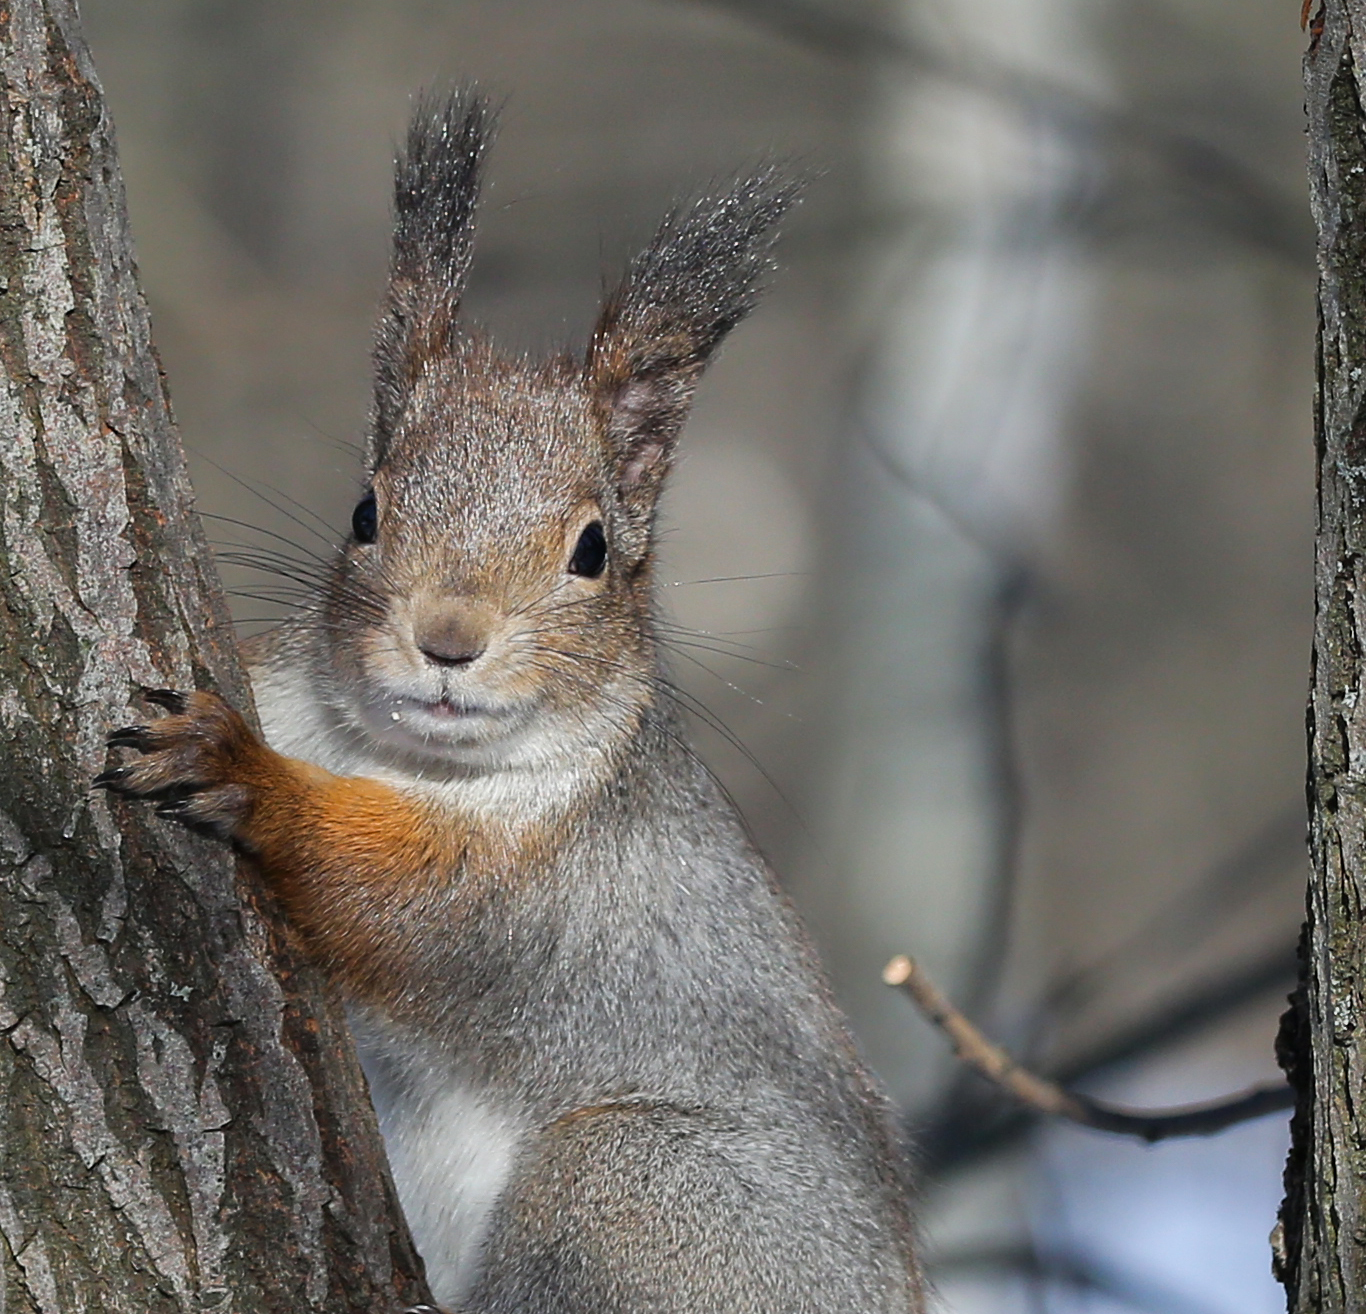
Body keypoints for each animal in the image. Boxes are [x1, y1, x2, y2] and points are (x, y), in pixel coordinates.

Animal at [99, 92, 928, 1311]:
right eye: (365, 511)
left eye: (593, 551)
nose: (448, 640)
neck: (395, 755)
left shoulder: (534, 887)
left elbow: (394, 891)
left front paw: (239, 771)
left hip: (637, 1196)